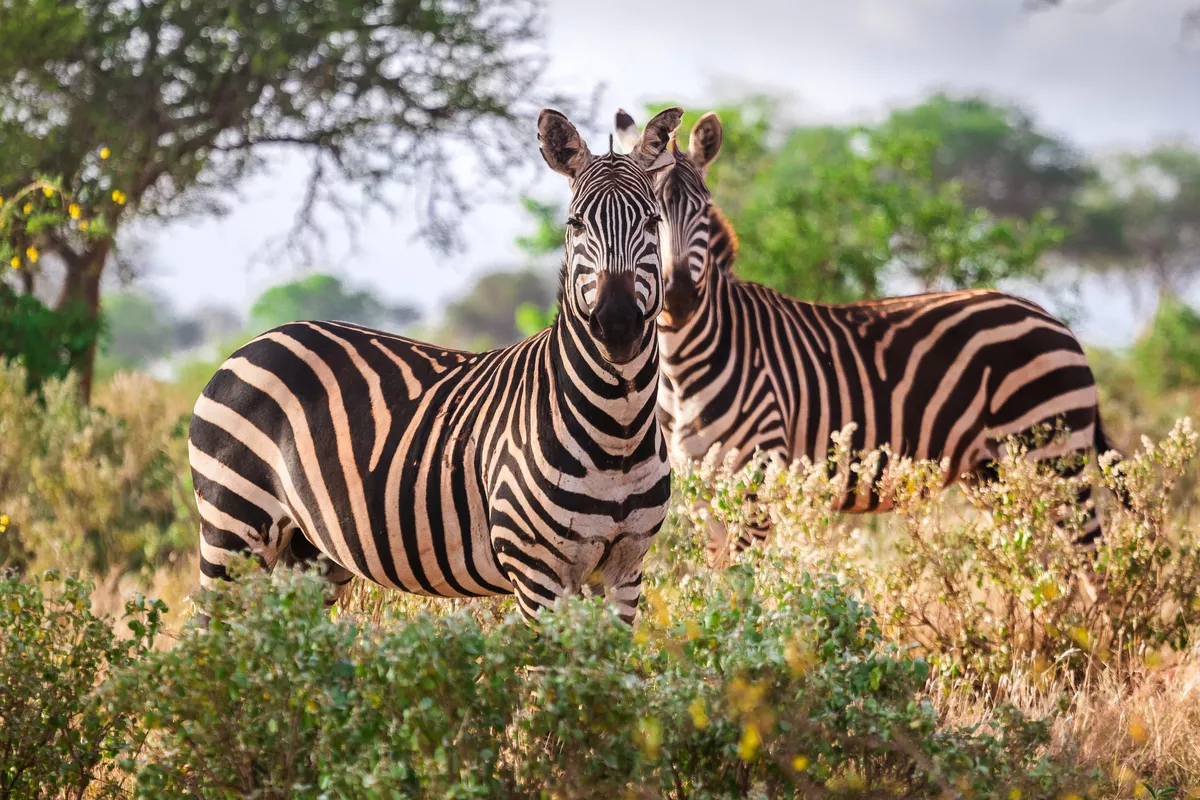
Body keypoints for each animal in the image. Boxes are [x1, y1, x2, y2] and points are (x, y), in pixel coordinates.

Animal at [187, 107, 684, 624]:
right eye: (576, 224)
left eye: (652, 221)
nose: (617, 323)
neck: (618, 431)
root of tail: (256, 342)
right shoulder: (538, 577)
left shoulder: (624, 571)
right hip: (233, 526)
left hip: (307, 550)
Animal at [615, 108, 1127, 564]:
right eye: (649, 216)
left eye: (703, 211)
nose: (679, 298)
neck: (683, 367)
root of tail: (1056, 323)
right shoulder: (700, 490)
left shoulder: (758, 481)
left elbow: (737, 588)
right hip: (994, 473)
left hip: (1051, 457)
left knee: (1091, 563)